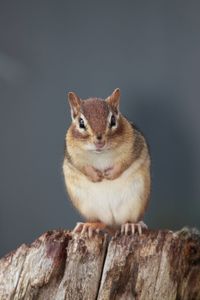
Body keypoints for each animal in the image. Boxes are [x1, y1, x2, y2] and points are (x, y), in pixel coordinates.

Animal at [62, 89, 150, 237]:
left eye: (113, 120)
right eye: (81, 123)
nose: (99, 140)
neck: (100, 154)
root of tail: (114, 228)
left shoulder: (135, 144)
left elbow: (126, 161)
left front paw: (111, 174)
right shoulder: (72, 155)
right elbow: (81, 166)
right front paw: (95, 175)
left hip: (136, 200)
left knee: (127, 220)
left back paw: (132, 225)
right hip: (88, 207)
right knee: (102, 223)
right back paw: (90, 225)